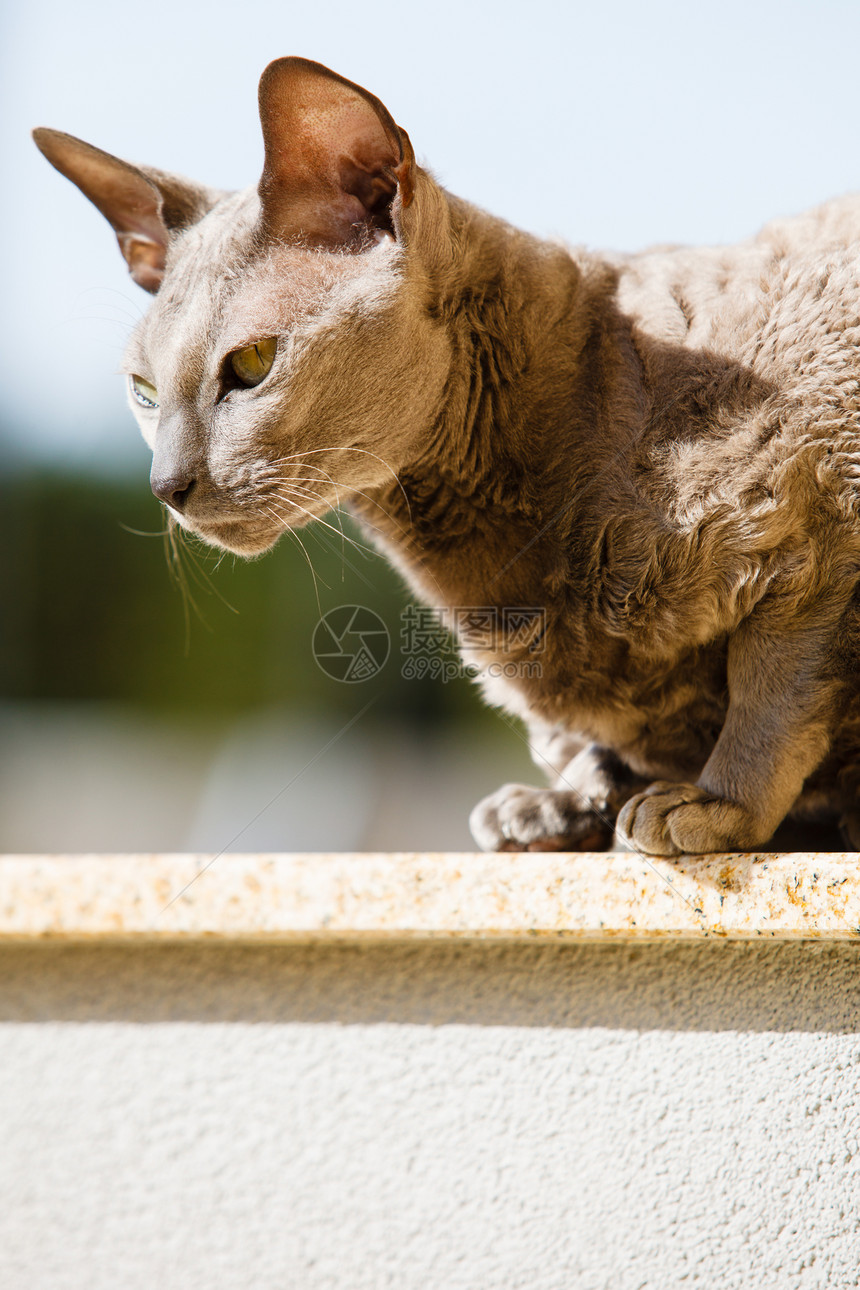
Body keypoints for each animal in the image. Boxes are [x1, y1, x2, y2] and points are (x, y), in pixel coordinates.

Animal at [35, 55, 860, 856]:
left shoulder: (816, 531)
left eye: (252, 364)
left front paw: (715, 805)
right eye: (144, 392)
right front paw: (566, 805)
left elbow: (771, 690)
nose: (166, 485)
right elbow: (585, 740)